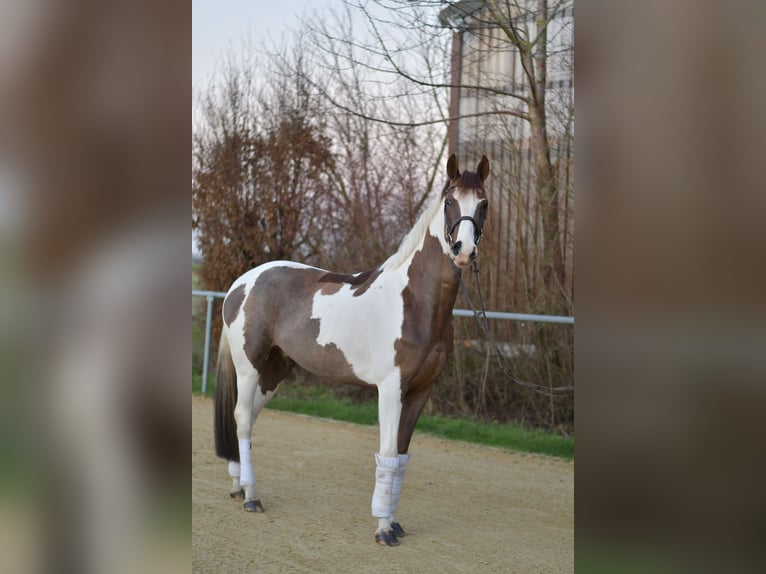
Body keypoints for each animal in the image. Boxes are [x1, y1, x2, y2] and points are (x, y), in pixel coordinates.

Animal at [214, 153, 489, 546]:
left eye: (483, 204)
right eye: (450, 201)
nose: (463, 251)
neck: (413, 302)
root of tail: (242, 283)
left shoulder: (421, 390)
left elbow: (401, 455)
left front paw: (394, 522)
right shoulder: (390, 389)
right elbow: (387, 452)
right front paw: (383, 529)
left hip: (275, 370)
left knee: (248, 419)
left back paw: (239, 487)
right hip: (249, 365)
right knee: (240, 418)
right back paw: (251, 496)